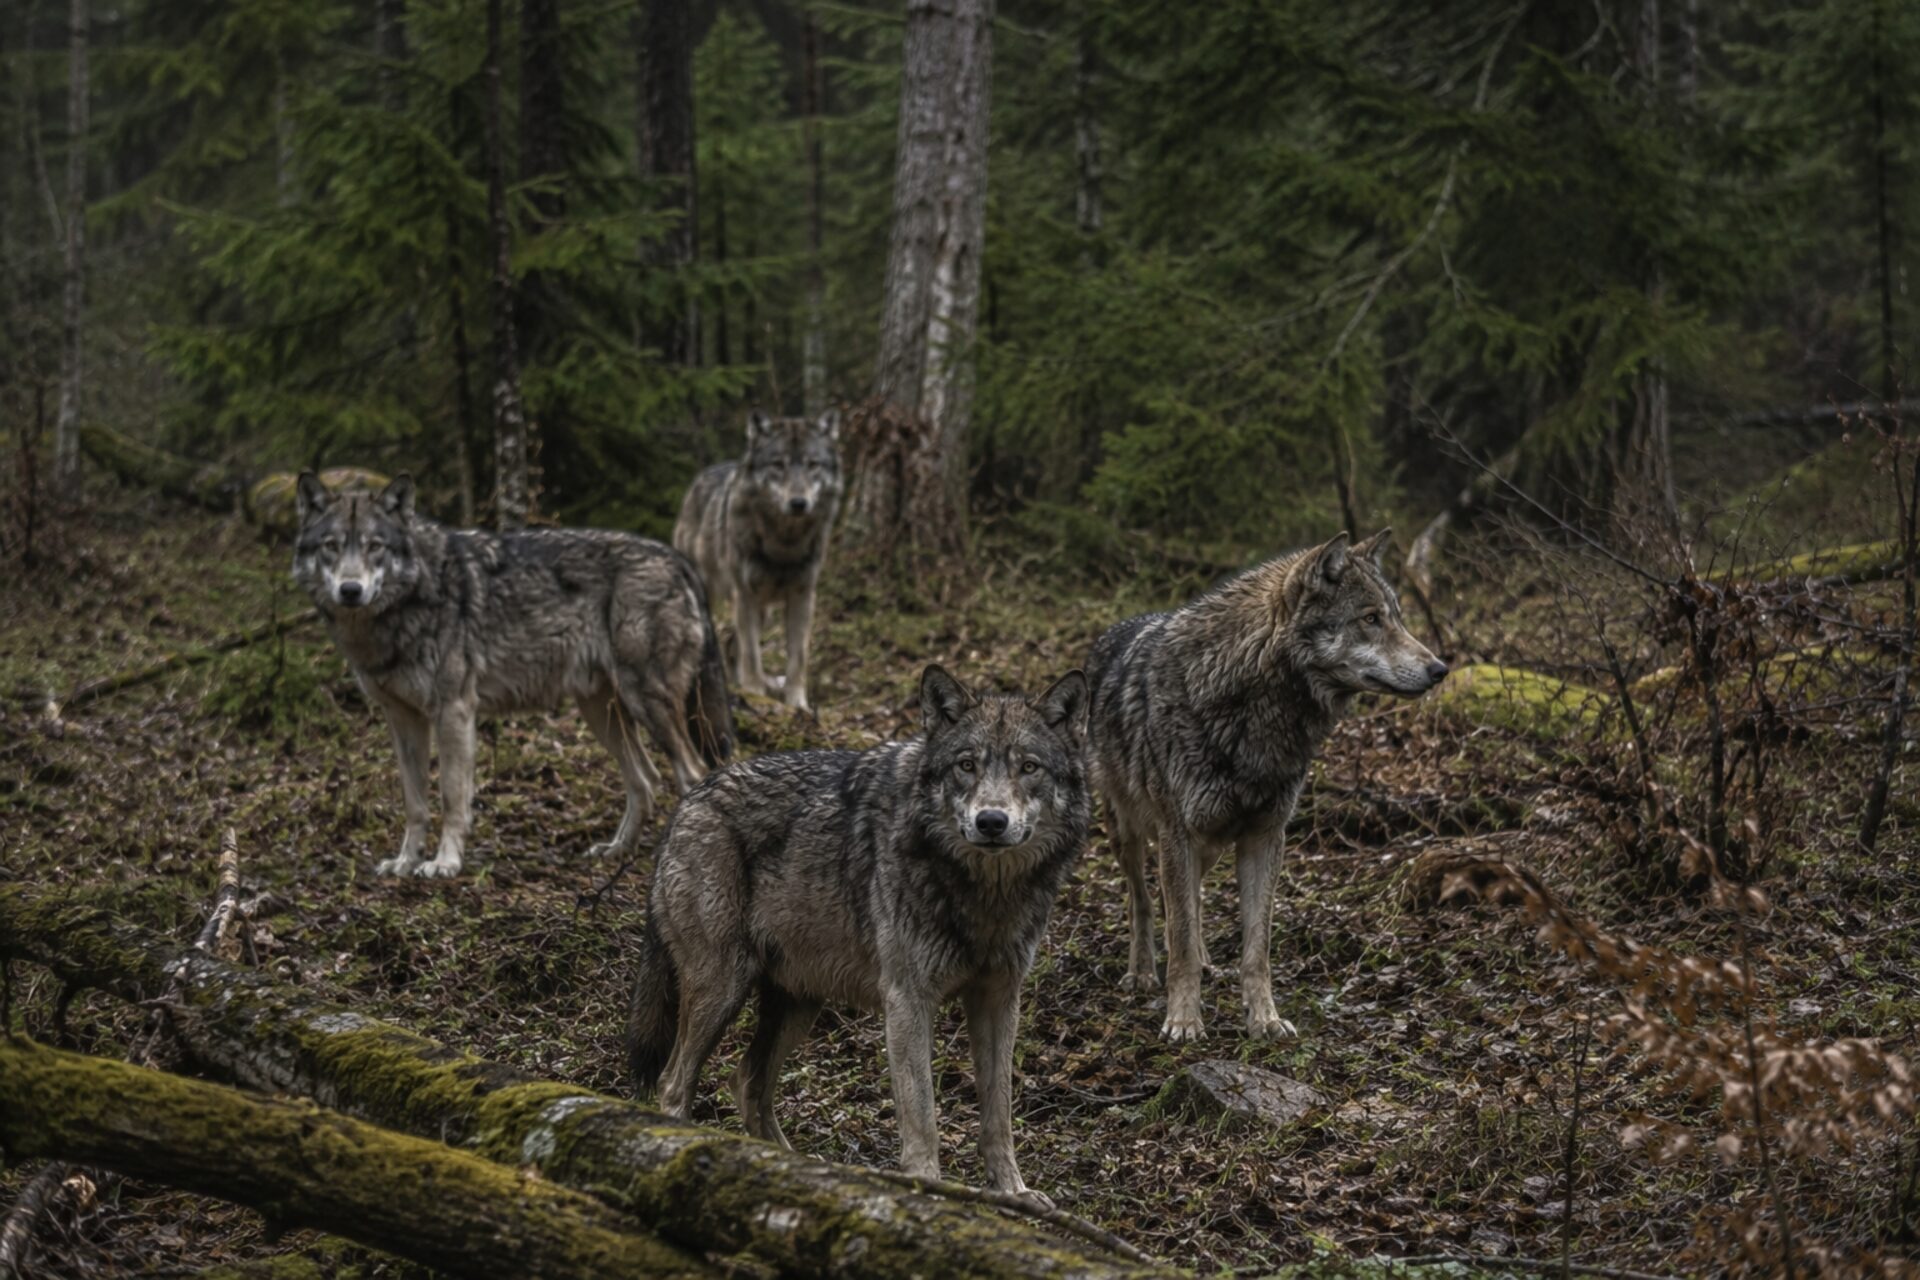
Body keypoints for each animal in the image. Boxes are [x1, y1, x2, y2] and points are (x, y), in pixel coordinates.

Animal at [292, 472, 733, 879]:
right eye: (331, 546)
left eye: (375, 546)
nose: (351, 590)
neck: (410, 600)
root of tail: (676, 558)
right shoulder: (402, 719)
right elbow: (414, 803)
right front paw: (405, 862)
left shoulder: (453, 711)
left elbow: (451, 796)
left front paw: (445, 862)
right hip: (602, 713)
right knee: (645, 779)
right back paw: (616, 850)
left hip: (645, 703)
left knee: (693, 773)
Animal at [627, 664, 1090, 1206]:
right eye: (966, 765)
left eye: (1029, 767)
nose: (991, 821)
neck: (983, 893)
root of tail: (684, 806)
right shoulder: (907, 1000)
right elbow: (923, 1117)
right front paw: (930, 1190)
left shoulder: (999, 998)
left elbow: (999, 1114)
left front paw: (1014, 1192)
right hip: (722, 990)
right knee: (674, 1083)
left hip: (797, 1007)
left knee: (746, 1082)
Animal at [673, 409, 842, 711]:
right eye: (778, 465)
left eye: (813, 465)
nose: (798, 503)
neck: (784, 543)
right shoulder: (746, 595)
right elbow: (752, 654)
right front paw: (755, 694)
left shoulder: (803, 595)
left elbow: (798, 658)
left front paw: (797, 704)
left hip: (764, 611)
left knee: (731, 642)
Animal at [1087, 530, 1448, 1041]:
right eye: (1370, 618)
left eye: (1395, 615)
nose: (1441, 669)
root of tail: (1110, 632)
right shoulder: (1178, 834)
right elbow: (1178, 939)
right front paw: (1184, 1021)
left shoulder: (1264, 836)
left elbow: (1256, 948)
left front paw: (1265, 1019)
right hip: (1130, 833)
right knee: (1144, 901)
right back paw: (1141, 972)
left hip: (1207, 844)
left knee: (1192, 900)